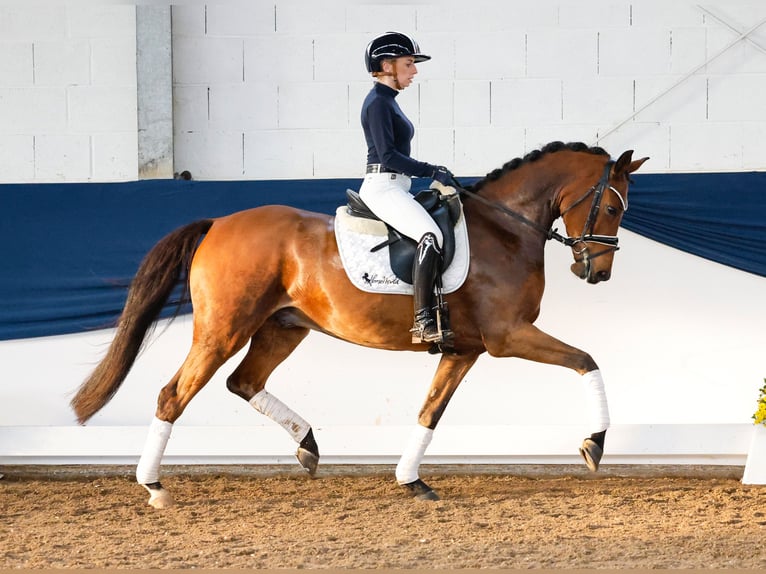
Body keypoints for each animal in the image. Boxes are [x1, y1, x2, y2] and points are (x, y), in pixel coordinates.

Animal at [70, 141, 648, 508]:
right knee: (174, 394)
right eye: (612, 207)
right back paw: (154, 487)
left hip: (283, 327)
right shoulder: (507, 337)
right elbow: (587, 360)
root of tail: (218, 224)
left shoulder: (464, 349)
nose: (597, 272)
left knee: (244, 382)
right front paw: (595, 443)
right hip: (221, 331)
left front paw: (410, 481)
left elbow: (430, 412)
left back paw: (307, 446)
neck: (505, 229)